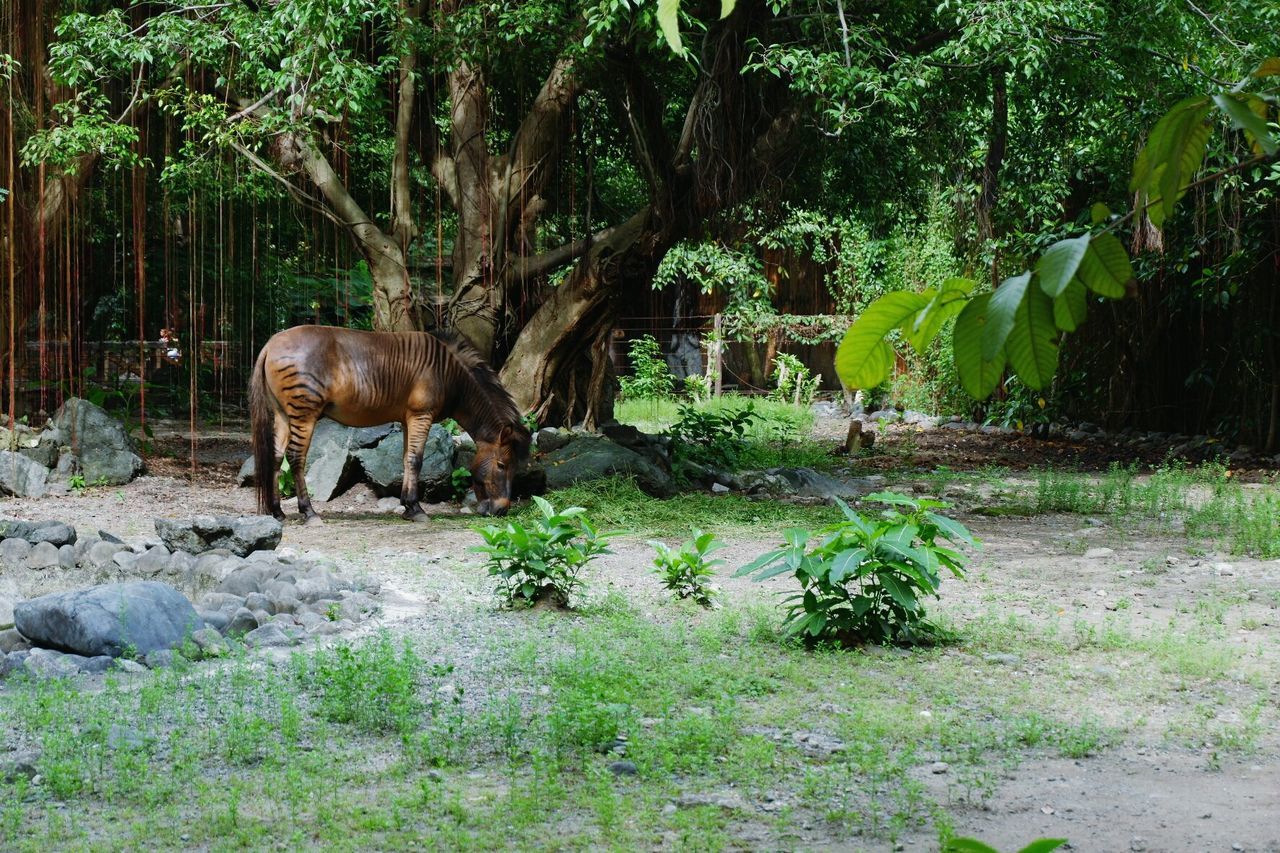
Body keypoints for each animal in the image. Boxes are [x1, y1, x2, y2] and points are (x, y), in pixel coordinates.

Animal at [249, 326, 529, 522]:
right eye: (502, 465)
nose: (502, 511)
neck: (451, 377)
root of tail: (271, 344)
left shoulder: (408, 418)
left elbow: (406, 458)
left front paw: (407, 507)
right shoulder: (421, 414)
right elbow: (416, 460)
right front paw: (417, 509)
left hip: (283, 414)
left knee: (276, 456)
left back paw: (277, 513)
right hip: (304, 412)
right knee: (296, 457)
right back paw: (309, 513)